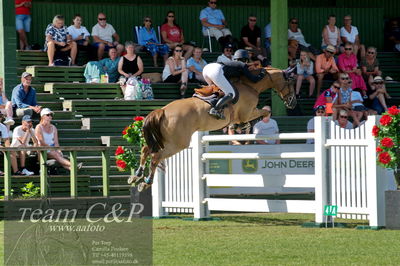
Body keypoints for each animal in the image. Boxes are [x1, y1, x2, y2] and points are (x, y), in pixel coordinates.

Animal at [128, 66, 296, 191]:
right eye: (291, 83)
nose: (292, 102)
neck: (250, 85)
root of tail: (162, 110)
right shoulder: (248, 113)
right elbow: (264, 112)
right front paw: (251, 124)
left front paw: (242, 127)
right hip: (177, 143)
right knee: (156, 157)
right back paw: (145, 183)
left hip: (164, 139)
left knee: (145, 149)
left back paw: (136, 175)